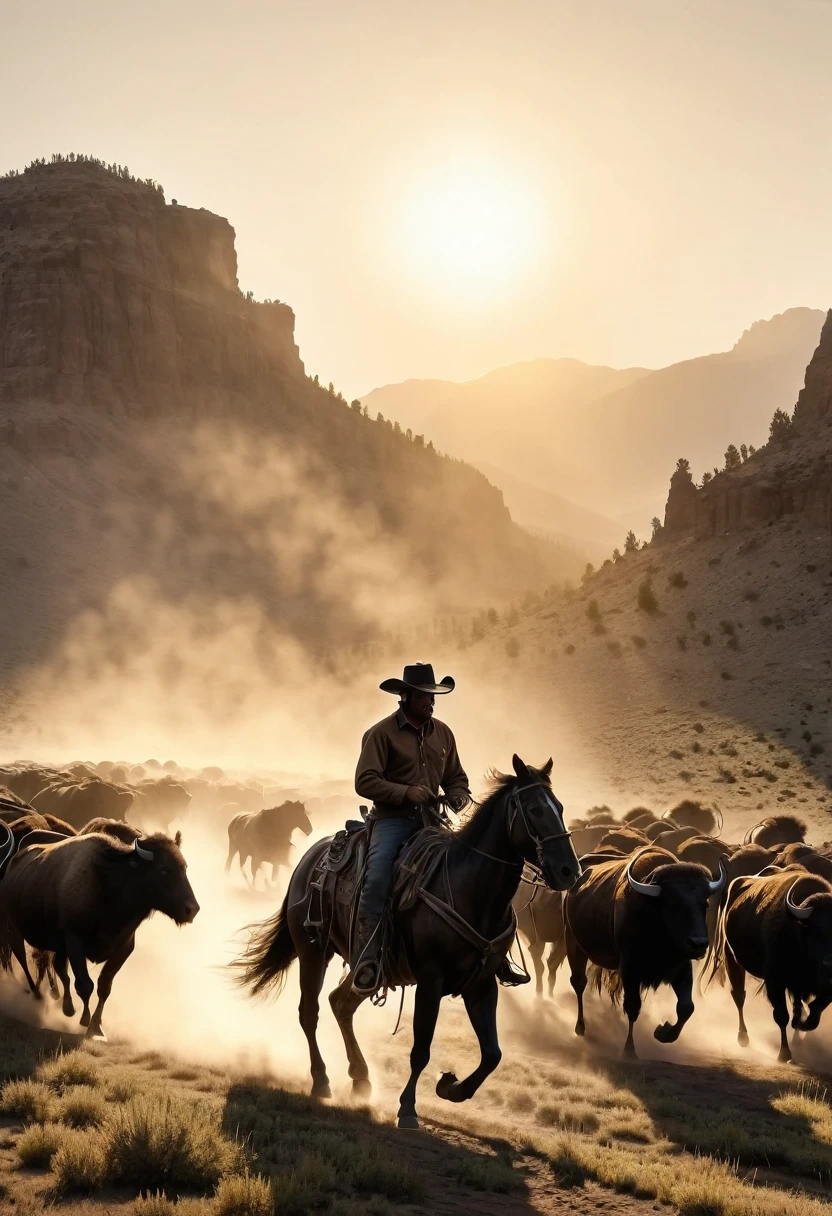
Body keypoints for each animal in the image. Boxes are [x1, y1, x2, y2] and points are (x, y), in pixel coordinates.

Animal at [0, 831, 198, 1040]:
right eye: (164, 870)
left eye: (184, 868)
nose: (192, 909)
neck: (110, 884)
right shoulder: (75, 943)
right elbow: (85, 984)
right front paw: (85, 1020)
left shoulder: (121, 950)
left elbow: (104, 987)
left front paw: (96, 1027)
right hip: (14, 931)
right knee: (25, 960)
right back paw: (37, 995)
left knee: (56, 968)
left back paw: (65, 1005)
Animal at [233, 753, 581, 1123]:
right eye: (534, 810)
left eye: (559, 807)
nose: (569, 871)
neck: (468, 889)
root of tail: (310, 859)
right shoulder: (430, 980)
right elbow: (421, 1049)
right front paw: (408, 1108)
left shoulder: (482, 984)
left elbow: (492, 1053)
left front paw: (451, 1087)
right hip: (314, 951)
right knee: (309, 1012)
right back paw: (322, 1080)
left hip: (367, 967)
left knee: (340, 1003)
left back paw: (360, 1078)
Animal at [561, 846, 724, 1055]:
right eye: (673, 904)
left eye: (705, 904)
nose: (699, 944)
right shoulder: (630, 969)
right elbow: (633, 1007)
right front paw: (629, 1050)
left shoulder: (681, 967)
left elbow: (686, 1007)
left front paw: (663, 1033)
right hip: (574, 945)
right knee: (579, 983)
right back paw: (580, 1028)